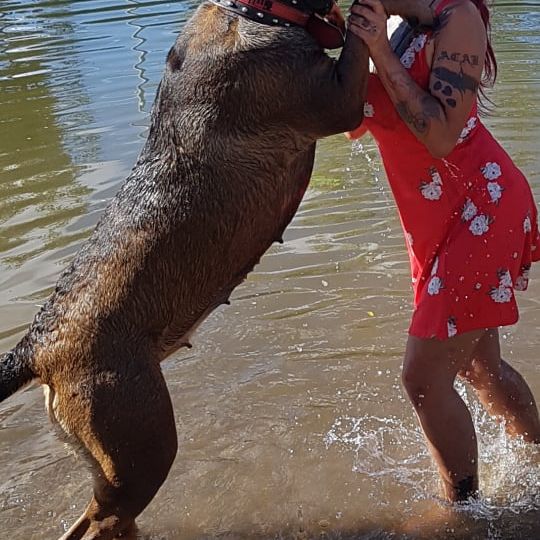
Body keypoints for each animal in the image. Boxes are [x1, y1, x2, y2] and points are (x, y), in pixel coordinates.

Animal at [0, 1, 434, 540]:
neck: (255, 12)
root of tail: (36, 345)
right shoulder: (336, 101)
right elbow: (356, 38)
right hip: (139, 440)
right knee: (102, 520)